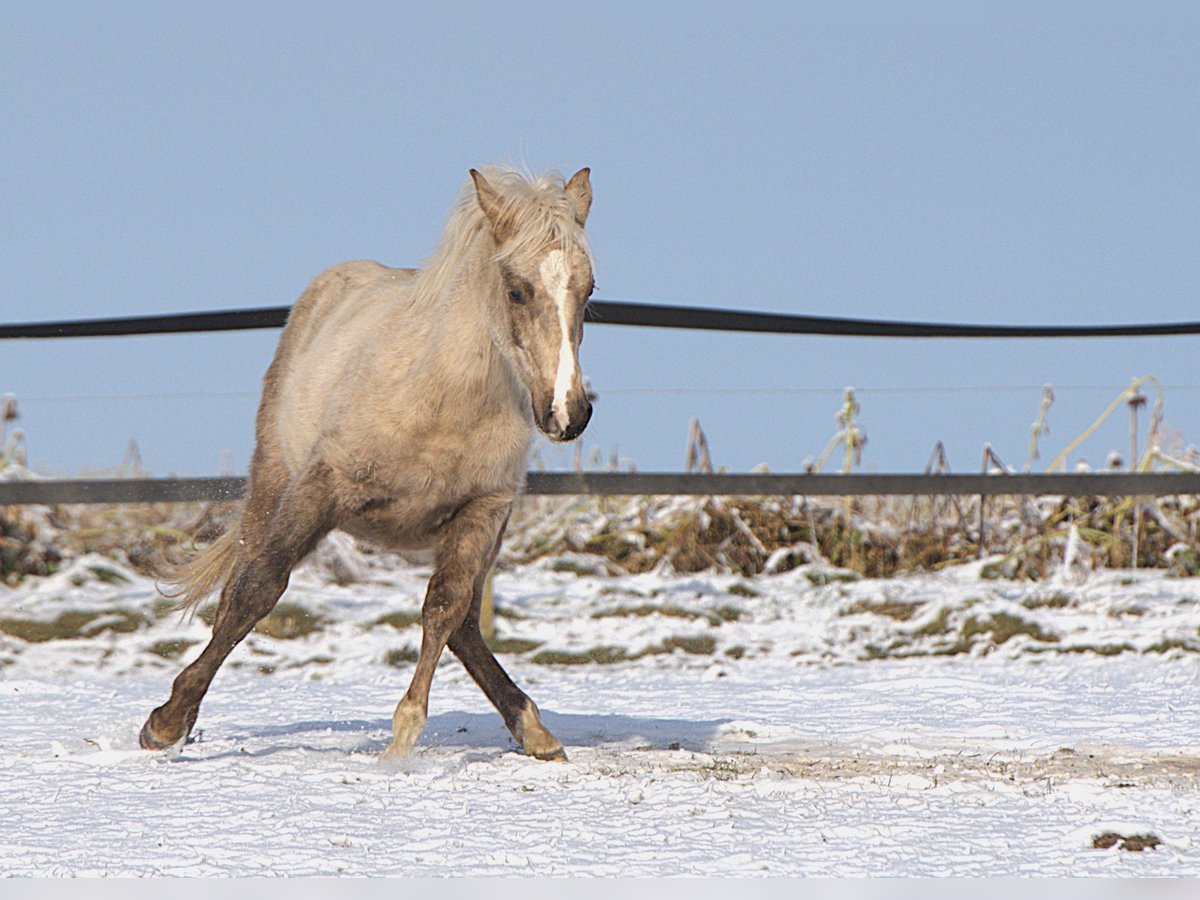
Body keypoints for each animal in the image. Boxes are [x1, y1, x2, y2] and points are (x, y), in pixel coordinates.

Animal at [139, 168, 595, 763]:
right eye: (517, 289)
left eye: (588, 291)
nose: (568, 413)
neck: (439, 400)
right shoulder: (322, 486)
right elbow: (257, 588)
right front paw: (165, 723)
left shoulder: (483, 510)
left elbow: (444, 607)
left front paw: (403, 737)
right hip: (272, 481)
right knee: (240, 579)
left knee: (467, 622)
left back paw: (534, 730)